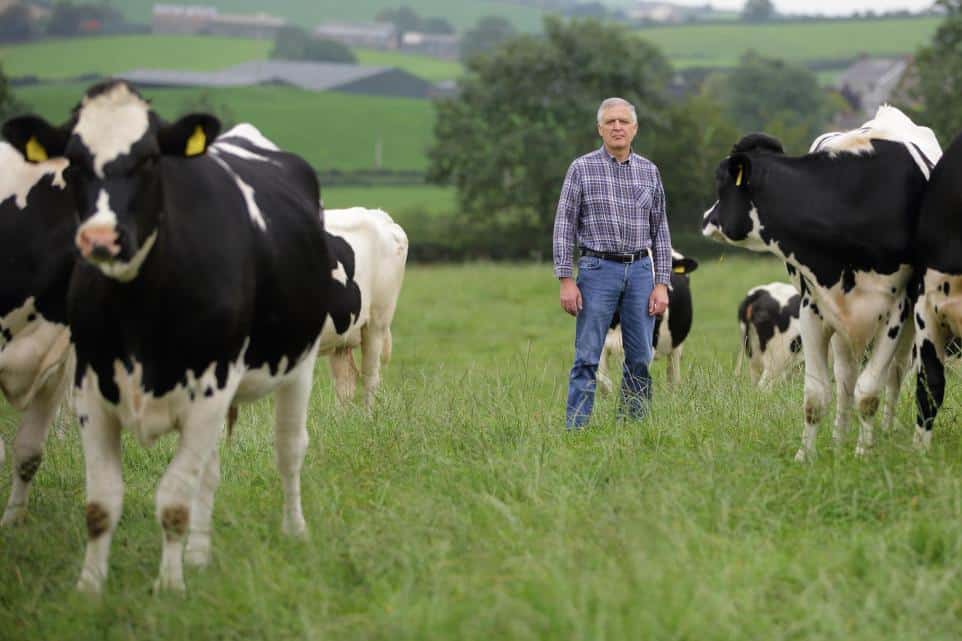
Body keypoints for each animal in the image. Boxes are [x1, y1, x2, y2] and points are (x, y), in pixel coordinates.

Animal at [3, 81, 362, 596]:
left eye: (151, 158)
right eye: (72, 161)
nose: (100, 239)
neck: (139, 310)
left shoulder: (208, 392)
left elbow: (173, 498)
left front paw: (169, 589)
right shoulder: (90, 389)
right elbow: (102, 503)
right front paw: (90, 590)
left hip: (300, 364)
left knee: (289, 449)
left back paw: (294, 531)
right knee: (207, 474)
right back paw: (198, 555)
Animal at [320, 208, 406, 408]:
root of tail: (379, 215)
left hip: (377, 323)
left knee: (370, 378)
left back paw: (369, 414)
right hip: (341, 333)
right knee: (346, 381)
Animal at [696, 107, 936, 462]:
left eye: (720, 182)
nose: (704, 218)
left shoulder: (895, 312)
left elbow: (869, 392)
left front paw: (863, 453)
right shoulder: (813, 310)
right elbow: (816, 393)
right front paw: (806, 456)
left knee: (893, 374)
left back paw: (886, 431)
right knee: (846, 378)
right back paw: (839, 439)